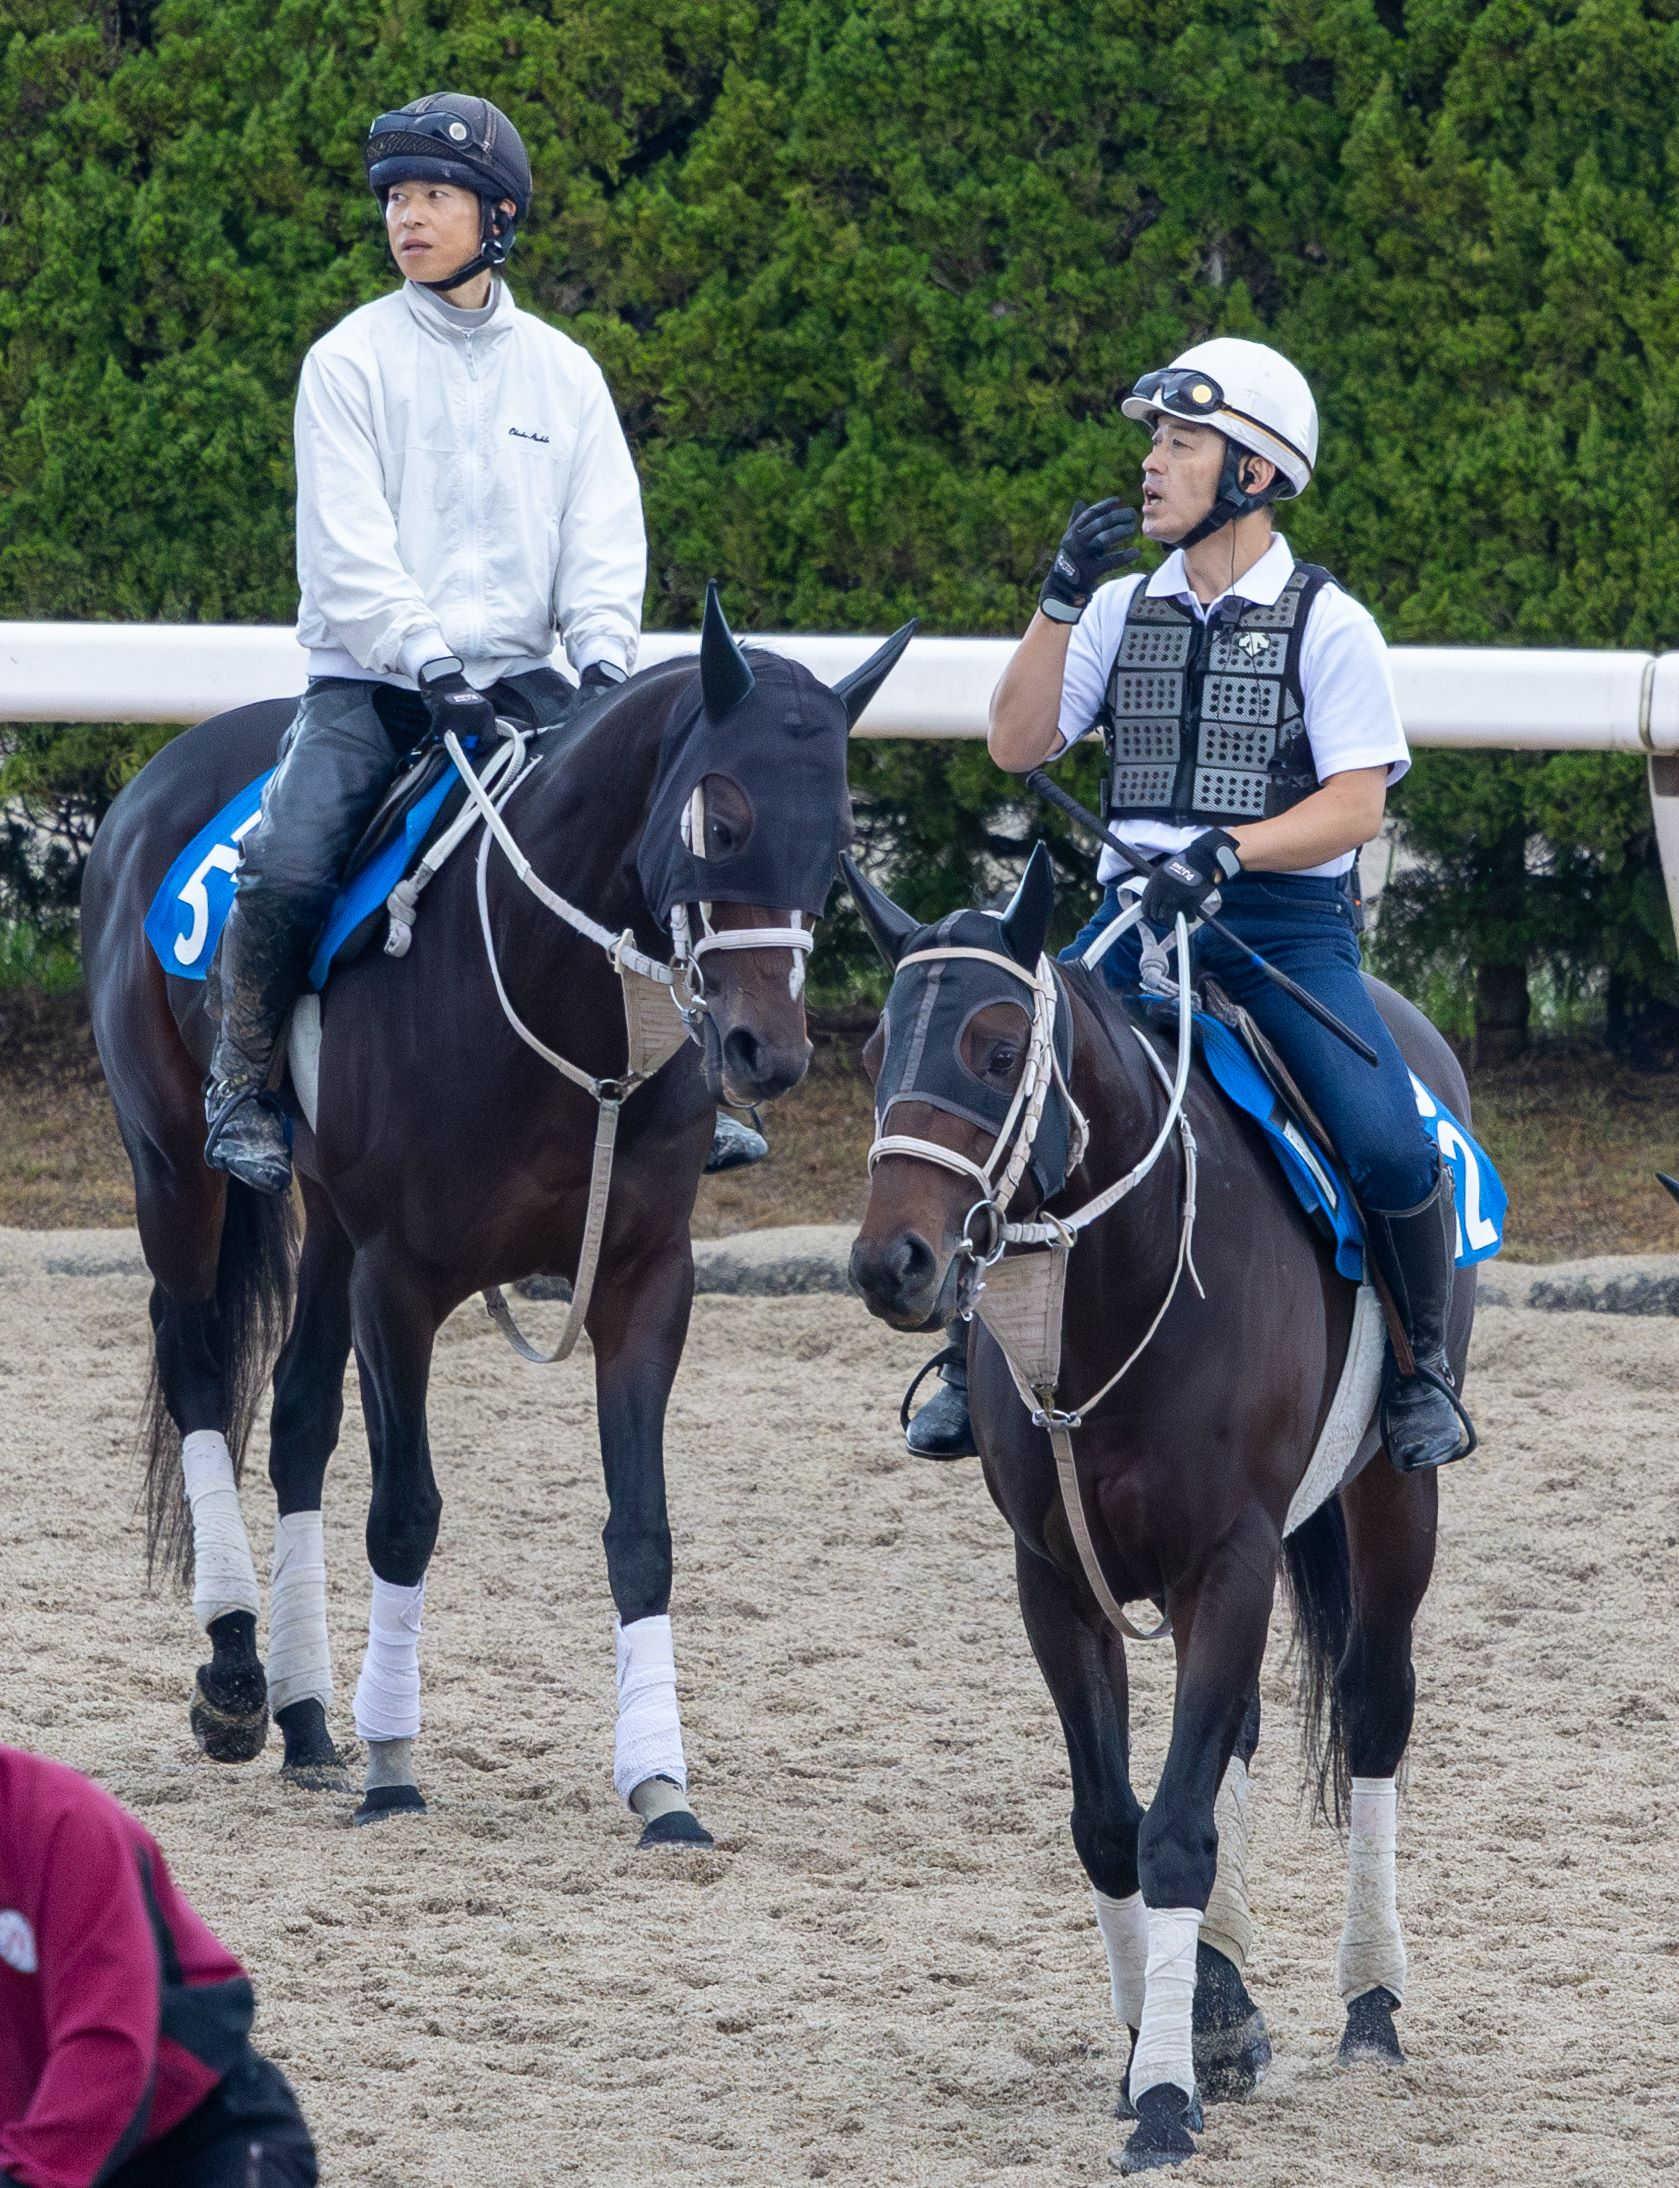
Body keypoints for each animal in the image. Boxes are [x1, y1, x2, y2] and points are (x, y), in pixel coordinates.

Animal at [83, 590, 910, 1837]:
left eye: (837, 840)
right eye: (720, 821)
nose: (765, 1053)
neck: (553, 998)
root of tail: (162, 773)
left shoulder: (644, 1279)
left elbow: (640, 1530)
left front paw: (660, 1783)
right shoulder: (400, 1281)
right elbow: (405, 1514)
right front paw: (394, 1766)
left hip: (324, 1219)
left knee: (297, 1420)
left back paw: (307, 1718)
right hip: (175, 1167)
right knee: (194, 1365)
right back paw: (236, 1670)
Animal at [849, 848, 1479, 2170]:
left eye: (996, 1048)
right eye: (877, 1045)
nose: (895, 1263)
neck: (1115, 1290)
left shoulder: (1223, 1563)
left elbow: (1176, 1831)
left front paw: (1164, 2098)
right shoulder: (1053, 1581)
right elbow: (1110, 1822)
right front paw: (1167, 2037)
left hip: (1392, 1502)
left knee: (1375, 1709)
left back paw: (1370, 2003)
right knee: (1236, 1733)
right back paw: (1226, 2002)